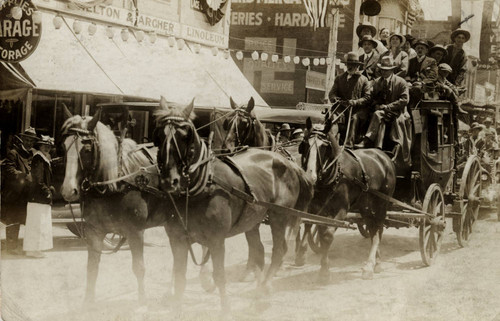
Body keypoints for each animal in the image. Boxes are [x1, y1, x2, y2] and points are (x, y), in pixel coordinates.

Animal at [60, 109, 166, 302]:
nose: (68, 190)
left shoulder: (136, 231)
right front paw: (88, 304)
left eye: (87, 149)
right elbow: (92, 268)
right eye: (64, 147)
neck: (116, 182)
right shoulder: (94, 231)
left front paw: (142, 302)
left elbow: (139, 268)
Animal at [156, 97, 312, 310]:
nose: (169, 180)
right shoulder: (178, 238)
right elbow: (181, 275)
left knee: (281, 248)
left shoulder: (216, 239)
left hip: (280, 216)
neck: (202, 187)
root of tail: (290, 164)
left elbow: (219, 274)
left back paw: (266, 287)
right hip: (254, 220)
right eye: (159, 133)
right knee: (259, 250)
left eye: (186, 134)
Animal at [298, 114, 396, 278]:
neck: (336, 173)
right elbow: (320, 232)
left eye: (324, 147)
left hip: (382, 203)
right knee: (372, 228)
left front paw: (324, 271)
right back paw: (376, 262)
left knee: (378, 230)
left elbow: (327, 235)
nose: (310, 176)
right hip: (365, 206)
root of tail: (383, 156)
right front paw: (321, 265)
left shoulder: (341, 210)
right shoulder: (318, 210)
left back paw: (371, 265)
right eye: (305, 144)